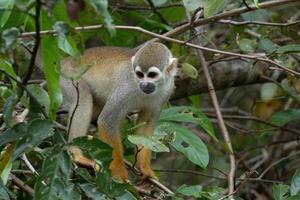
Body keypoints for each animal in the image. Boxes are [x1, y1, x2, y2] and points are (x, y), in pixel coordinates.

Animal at [61, 42, 178, 181]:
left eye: (152, 75)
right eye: (139, 74)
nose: (144, 84)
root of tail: (67, 60)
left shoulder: (166, 92)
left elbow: (145, 130)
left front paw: (145, 168)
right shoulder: (125, 88)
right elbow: (107, 121)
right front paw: (120, 175)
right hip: (68, 76)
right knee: (83, 98)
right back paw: (76, 154)